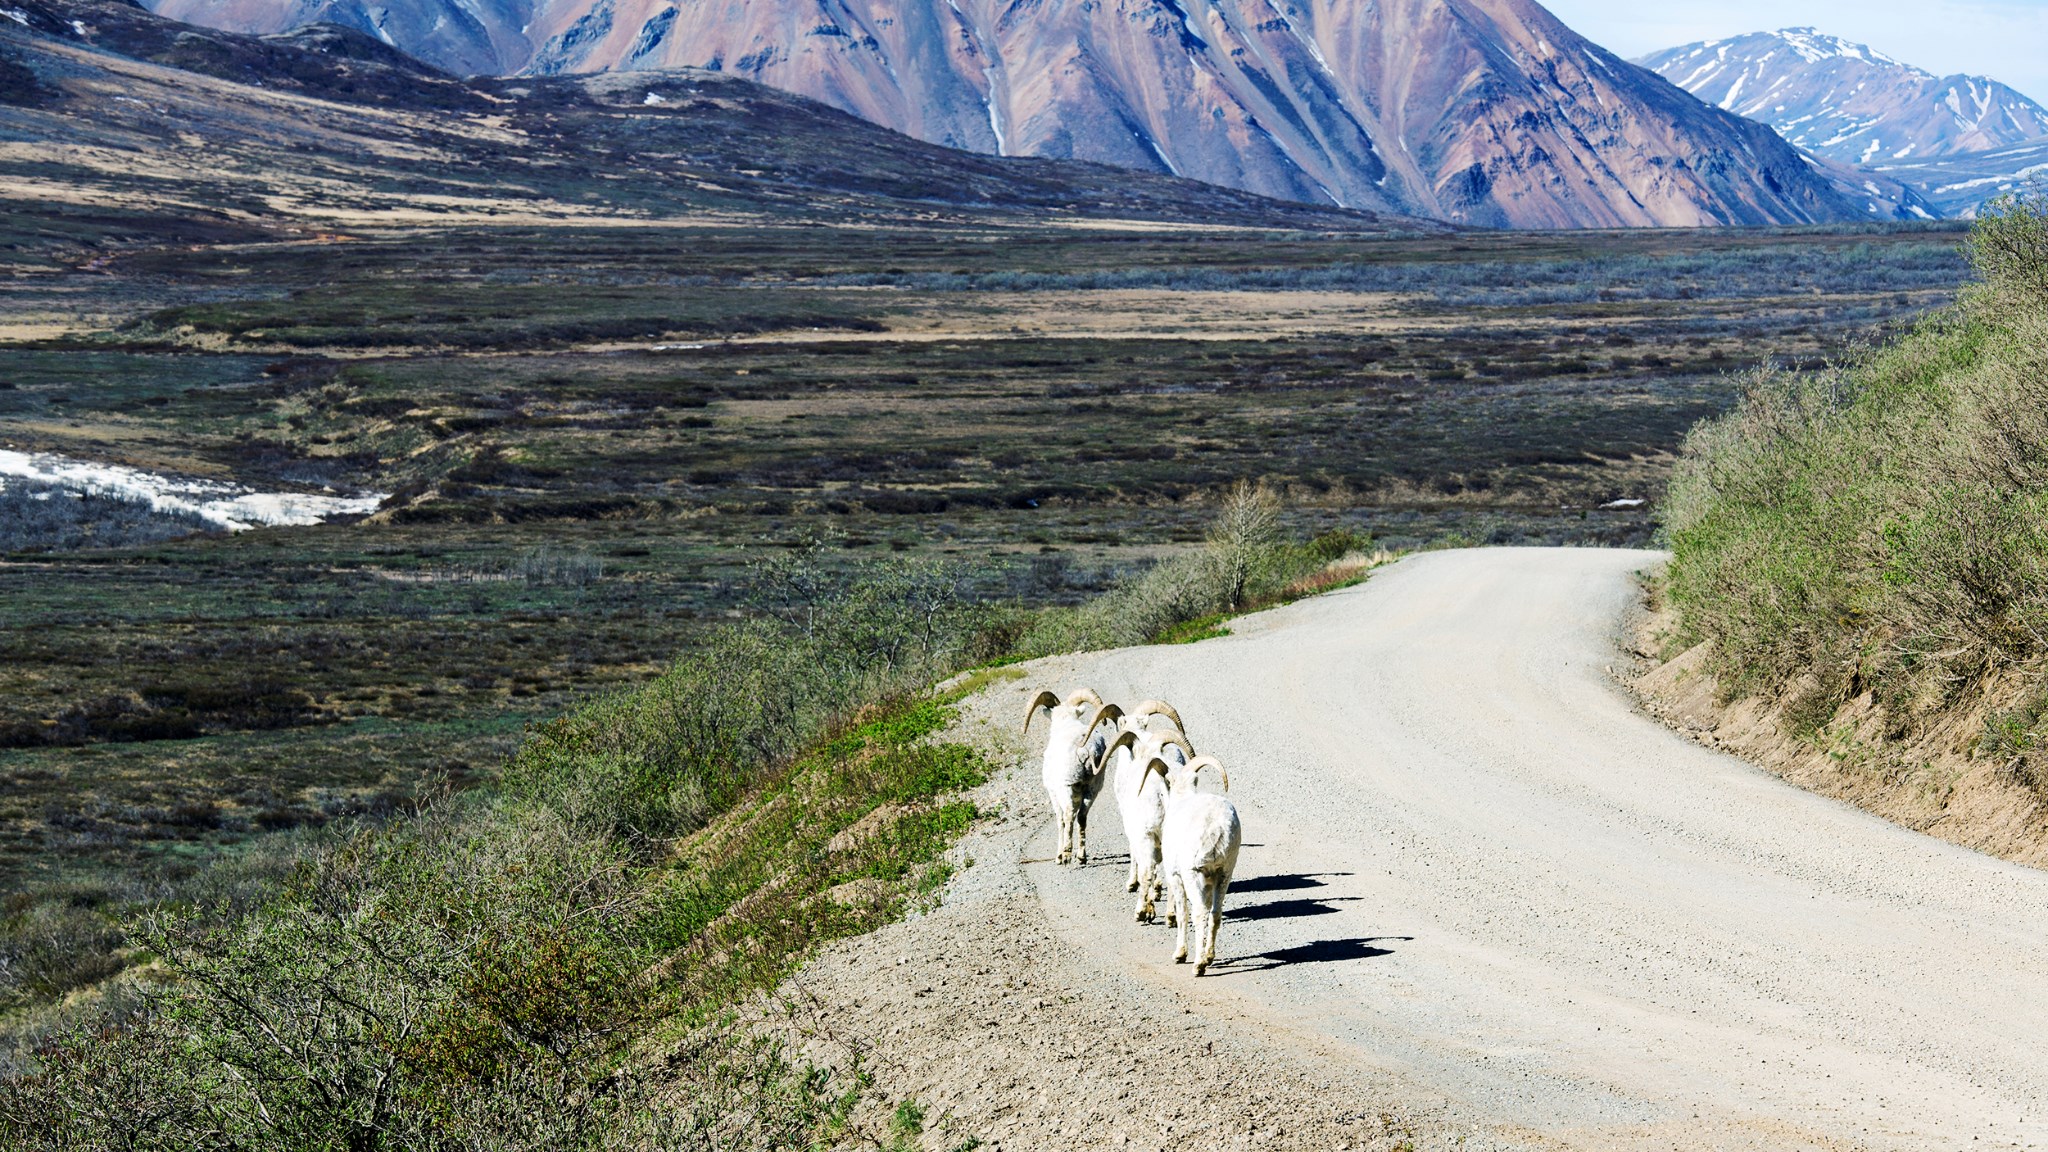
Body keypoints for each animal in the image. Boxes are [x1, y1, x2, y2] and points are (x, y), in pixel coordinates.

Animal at [1019, 680, 1122, 860]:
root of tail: (1087, 750)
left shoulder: (1053, 792)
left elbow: (1060, 820)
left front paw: (1058, 857)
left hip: (1067, 787)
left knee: (1068, 815)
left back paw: (1066, 854)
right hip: (1092, 787)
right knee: (1082, 816)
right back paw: (1081, 856)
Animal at [1146, 750, 1236, 971]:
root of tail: (1217, 827)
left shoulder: (1175, 876)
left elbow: (1182, 914)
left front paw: (1179, 954)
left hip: (1193, 874)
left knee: (1200, 913)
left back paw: (1199, 965)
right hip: (1225, 873)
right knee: (1215, 913)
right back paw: (1209, 957)